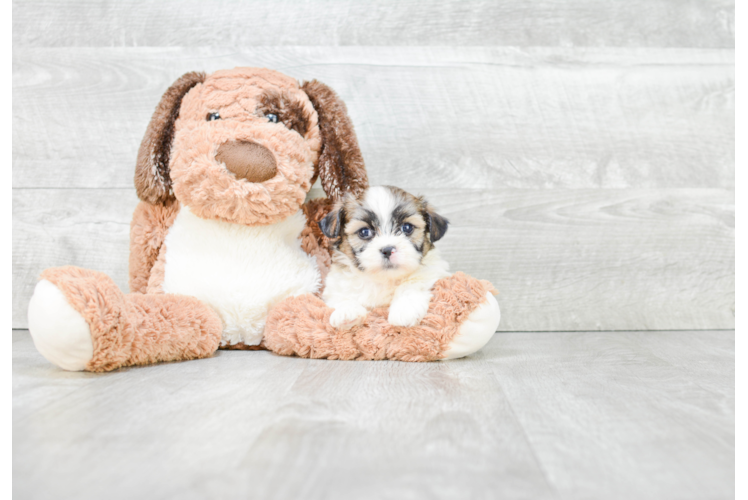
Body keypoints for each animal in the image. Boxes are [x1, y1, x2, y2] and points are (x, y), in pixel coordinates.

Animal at [318, 186, 450, 330]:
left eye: (407, 228)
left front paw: (404, 309)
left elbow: (412, 283)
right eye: (364, 232)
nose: (387, 250)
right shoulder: (334, 287)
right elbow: (341, 296)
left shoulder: (433, 272)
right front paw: (347, 311)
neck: (383, 279)